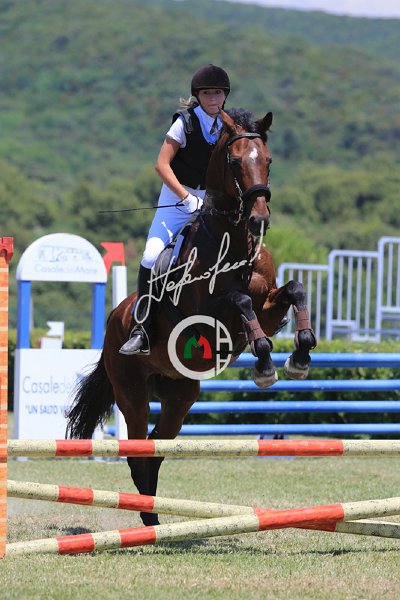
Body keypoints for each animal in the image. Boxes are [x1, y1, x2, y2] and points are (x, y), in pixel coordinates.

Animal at [66, 108, 317, 526]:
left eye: (267, 160)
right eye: (234, 162)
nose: (259, 220)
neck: (235, 241)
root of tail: (115, 319)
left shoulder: (268, 306)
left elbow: (294, 290)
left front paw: (299, 355)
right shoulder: (207, 316)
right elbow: (239, 301)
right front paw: (265, 365)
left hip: (180, 396)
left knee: (154, 449)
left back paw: (152, 519)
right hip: (132, 393)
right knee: (138, 449)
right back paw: (148, 521)